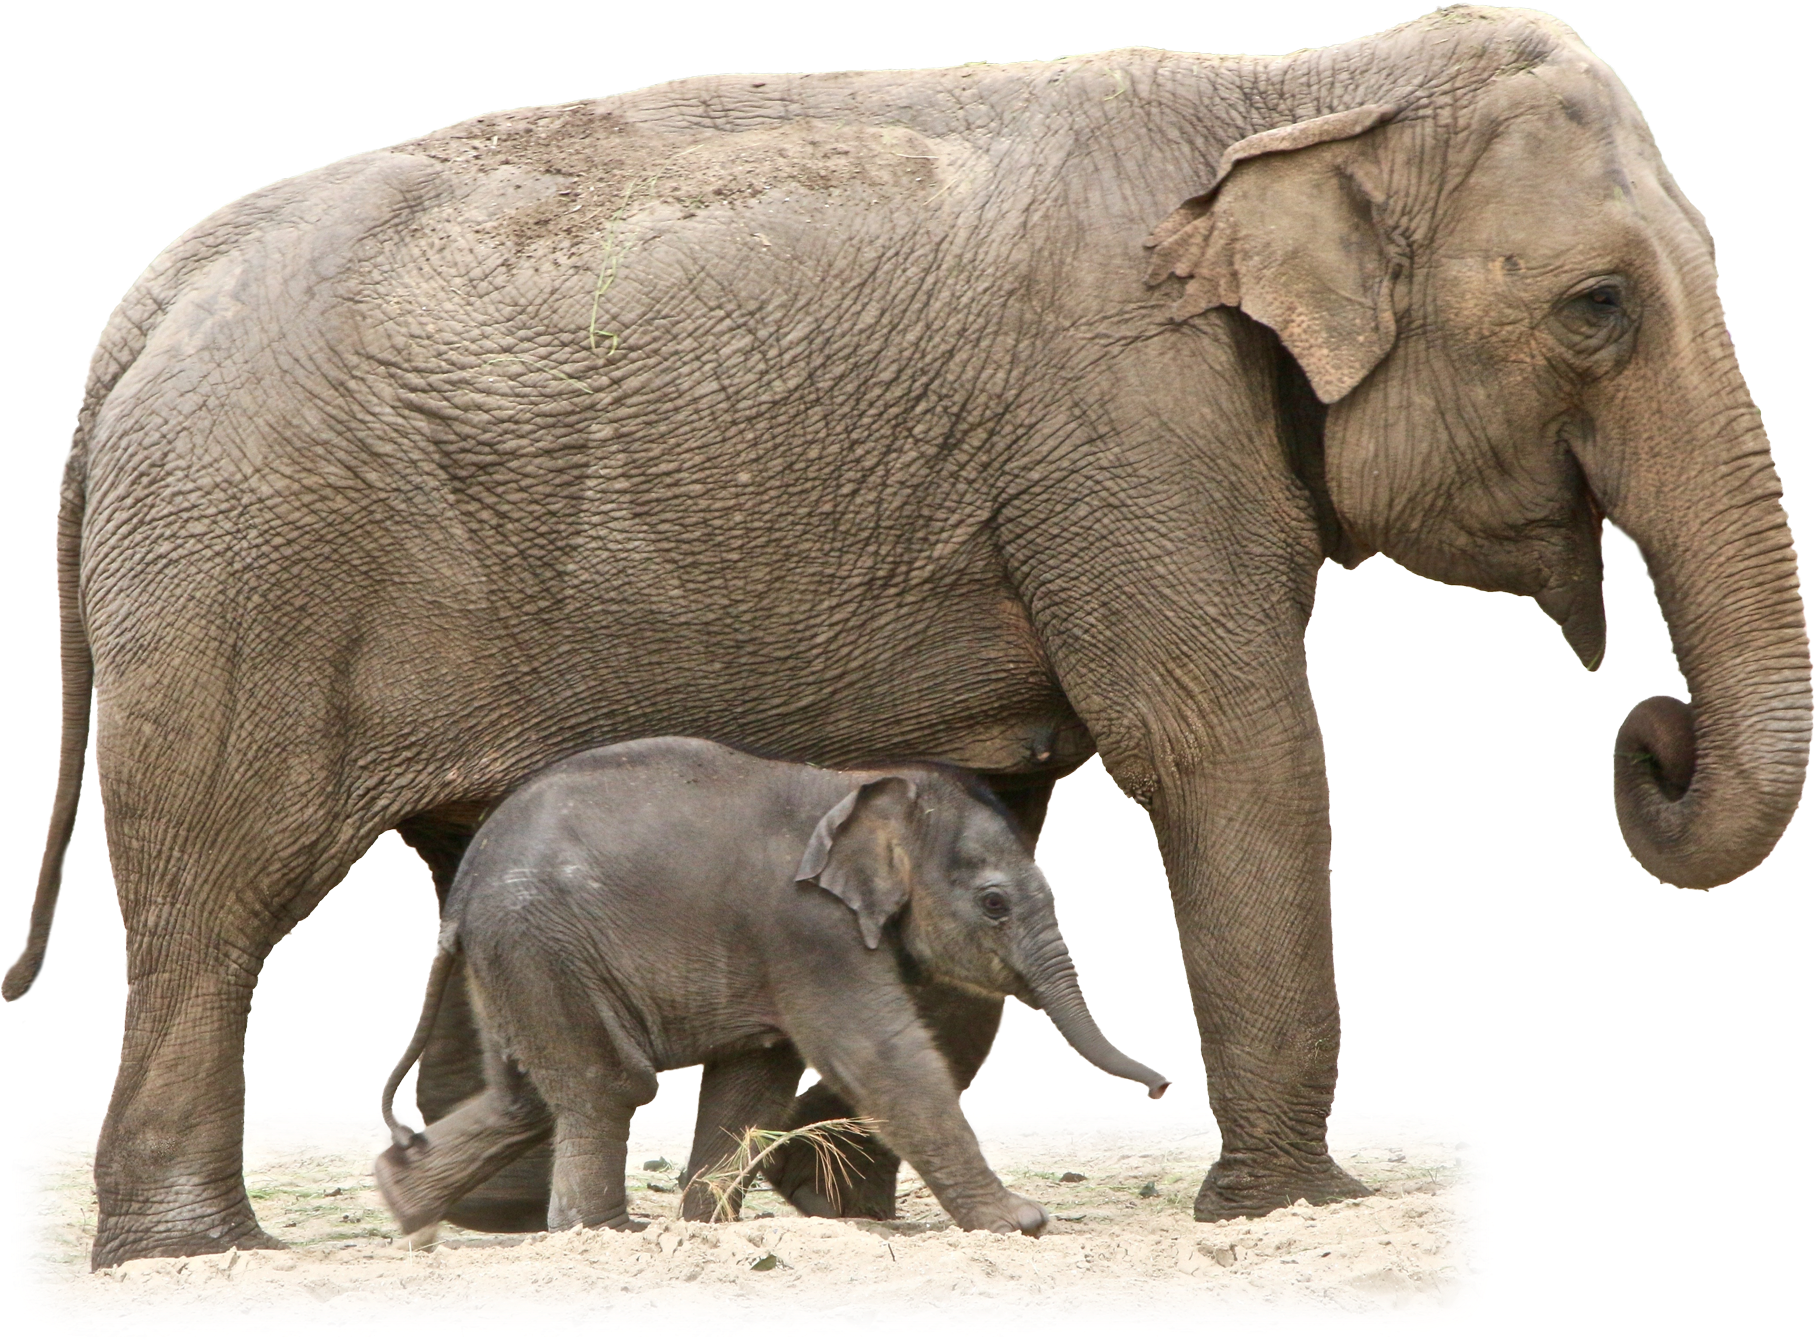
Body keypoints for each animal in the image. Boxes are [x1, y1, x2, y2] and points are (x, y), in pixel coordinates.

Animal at [371, 736, 1169, 1238]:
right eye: (995, 904)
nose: (1161, 1086)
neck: (864, 786)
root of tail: (460, 899)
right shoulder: (806, 929)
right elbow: (879, 1055)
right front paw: (1021, 1224)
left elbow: (755, 1079)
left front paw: (707, 1229)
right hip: (543, 944)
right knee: (608, 1085)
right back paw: (602, 1233)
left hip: (518, 958)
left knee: (528, 1097)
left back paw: (402, 1204)